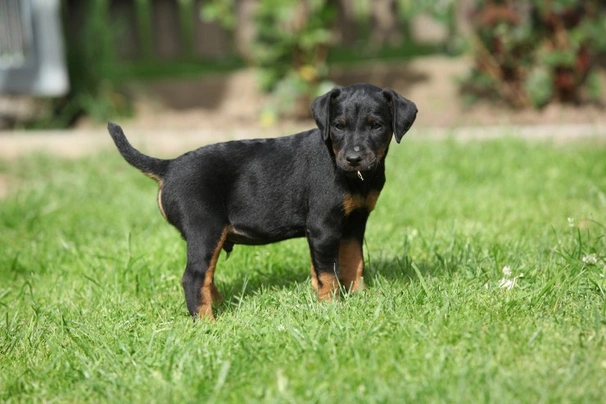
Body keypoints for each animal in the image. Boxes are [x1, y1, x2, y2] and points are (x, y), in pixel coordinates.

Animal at [108, 83, 418, 320]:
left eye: (377, 126)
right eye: (339, 127)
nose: (354, 158)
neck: (354, 177)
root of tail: (169, 166)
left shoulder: (355, 222)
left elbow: (354, 261)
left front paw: (361, 297)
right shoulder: (324, 226)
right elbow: (327, 272)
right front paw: (331, 306)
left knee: (206, 276)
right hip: (205, 229)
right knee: (194, 277)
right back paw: (208, 322)